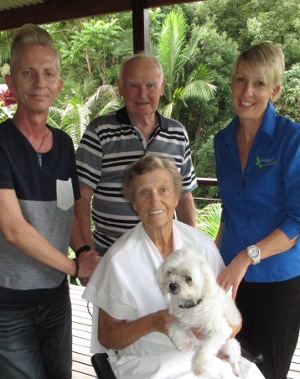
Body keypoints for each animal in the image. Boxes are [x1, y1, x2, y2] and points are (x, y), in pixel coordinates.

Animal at [156, 248, 243, 376]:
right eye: (170, 272)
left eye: (188, 278)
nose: (172, 285)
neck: (191, 305)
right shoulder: (176, 318)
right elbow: (175, 326)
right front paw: (184, 342)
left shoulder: (220, 330)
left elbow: (206, 348)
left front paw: (199, 365)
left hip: (231, 346)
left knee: (235, 361)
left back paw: (236, 370)